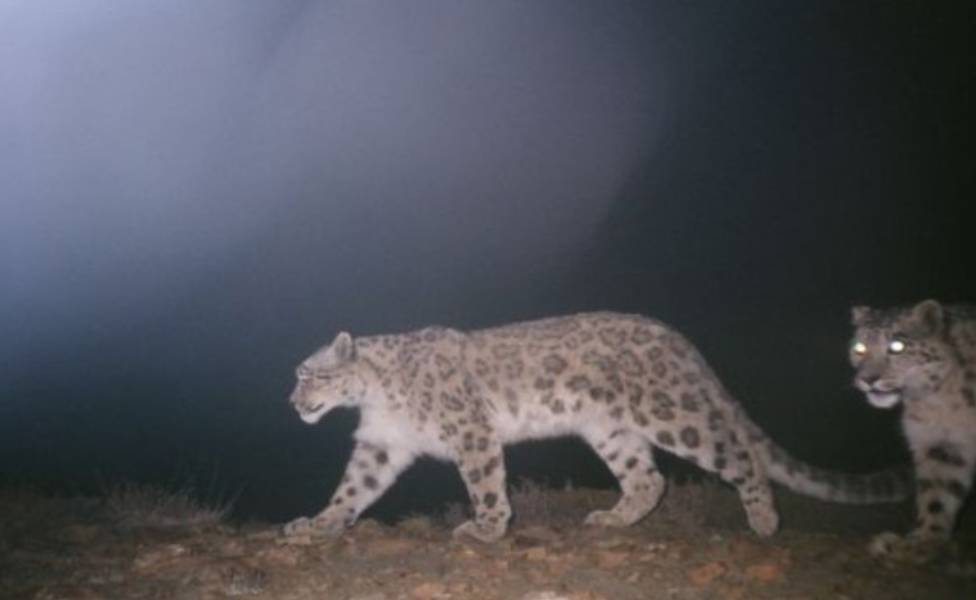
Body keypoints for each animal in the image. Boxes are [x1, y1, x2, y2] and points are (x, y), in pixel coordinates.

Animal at [286, 312, 912, 540]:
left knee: (740, 456)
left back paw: (763, 520)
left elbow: (484, 482)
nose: (292, 403)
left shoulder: (470, 431)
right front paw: (317, 524)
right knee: (647, 479)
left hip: (674, 415)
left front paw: (486, 528)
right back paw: (613, 518)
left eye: (308, 374)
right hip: (611, 431)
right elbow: (353, 489)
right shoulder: (380, 444)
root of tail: (680, 340)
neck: (374, 398)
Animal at [848, 300, 976, 564]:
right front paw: (921, 543)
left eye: (898, 346)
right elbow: (938, 495)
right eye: (859, 347)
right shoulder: (942, 442)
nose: (868, 379)